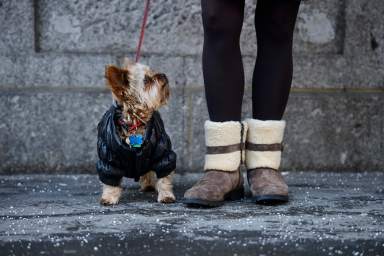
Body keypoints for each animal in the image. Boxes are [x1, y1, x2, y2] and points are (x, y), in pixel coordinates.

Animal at [99, 57, 177, 204]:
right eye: (146, 80)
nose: (163, 75)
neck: (135, 121)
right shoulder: (108, 159)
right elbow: (110, 179)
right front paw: (109, 197)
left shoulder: (162, 153)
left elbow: (164, 177)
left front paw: (166, 195)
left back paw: (148, 185)